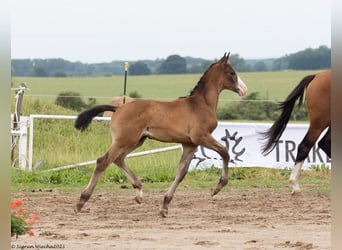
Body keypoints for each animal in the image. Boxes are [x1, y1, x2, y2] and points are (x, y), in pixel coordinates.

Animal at [73, 53, 247, 217]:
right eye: (232, 73)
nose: (243, 90)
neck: (200, 104)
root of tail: (119, 108)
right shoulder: (201, 137)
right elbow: (225, 152)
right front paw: (217, 188)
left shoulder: (190, 144)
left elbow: (181, 172)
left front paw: (165, 206)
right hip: (124, 140)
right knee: (103, 161)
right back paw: (81, 202)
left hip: (137, 141)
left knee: (118, 159)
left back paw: (139, 193)